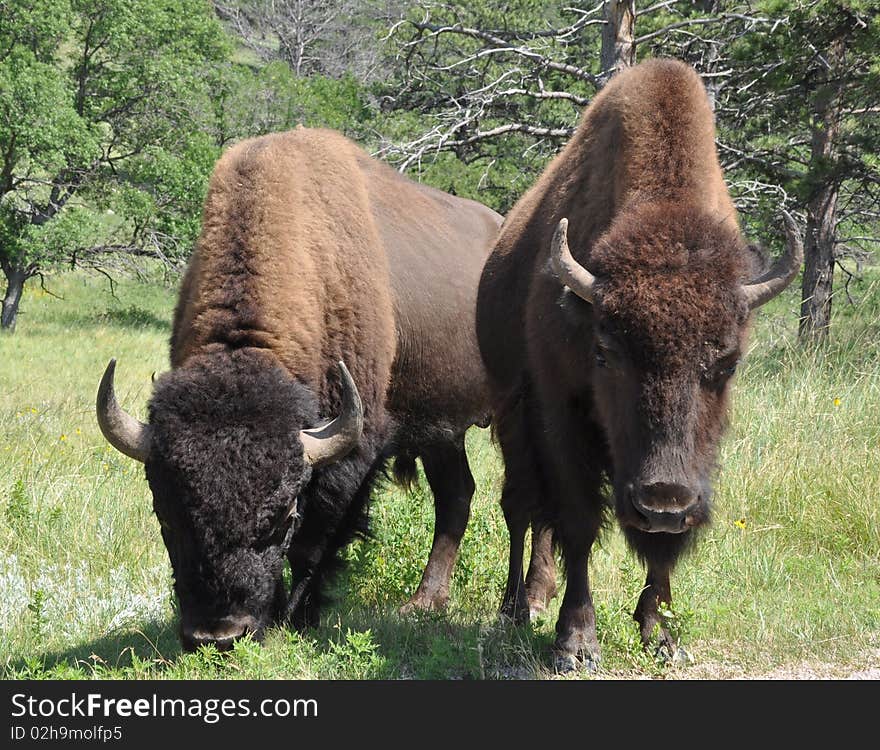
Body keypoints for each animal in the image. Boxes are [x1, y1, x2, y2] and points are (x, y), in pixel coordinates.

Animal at [96, 128, 502, 652]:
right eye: (165, 515)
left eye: (283, 515)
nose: (217, 634)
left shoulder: (352, 452)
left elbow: (316, 542)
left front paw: (298, 618)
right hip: (442, 431)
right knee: (456, 495)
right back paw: (423, 604)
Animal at [478, 57, 800, 668]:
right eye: (605, 353)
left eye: (727, 362)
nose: (663, 503)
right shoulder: (560, 414)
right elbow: (577, 521)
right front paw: (576, 642)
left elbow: (659, 550)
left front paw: (661, 633)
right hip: (511, 417)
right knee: (522, 508)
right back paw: (516, 607)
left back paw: (540, 594)